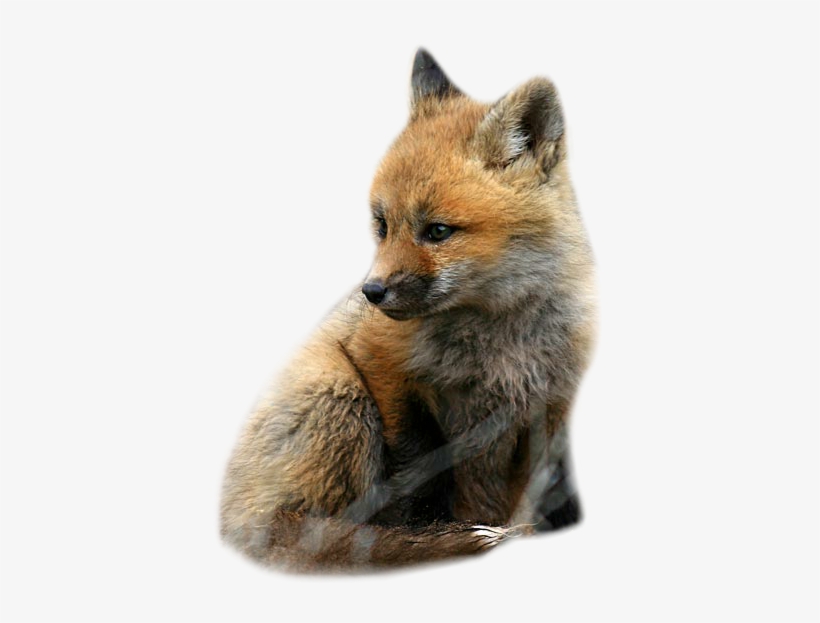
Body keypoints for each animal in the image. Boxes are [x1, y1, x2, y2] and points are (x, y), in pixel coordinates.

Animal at [220, 49, 596, 571]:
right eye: (382, 224)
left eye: (437, 231)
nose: (371, 292)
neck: (500, 341)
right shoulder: (380, 362)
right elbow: (420, 467)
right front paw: (431, 534)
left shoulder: (554, 400)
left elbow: (542, 486)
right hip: (339, 392)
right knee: (294, 536)